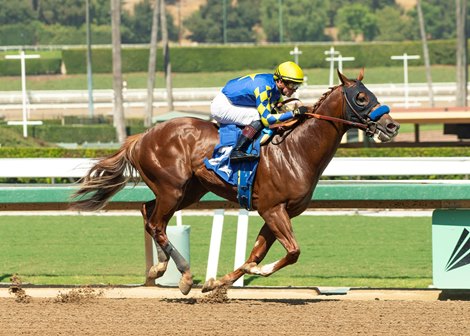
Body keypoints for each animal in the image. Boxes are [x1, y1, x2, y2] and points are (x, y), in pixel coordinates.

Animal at [70, 70, 400, 294]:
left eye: (371, 93)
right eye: (361, 97)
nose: (391, 125)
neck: (296, 150)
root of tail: (142, 137)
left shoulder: (278, 212)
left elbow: (256, 252)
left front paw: (218, 282)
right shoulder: (273, 209)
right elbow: (292, 252)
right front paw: (256, 271)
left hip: (189, 190)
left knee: (148, 212)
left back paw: (159, 267)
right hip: (172, 188)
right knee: (156, 222)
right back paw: (184, 276)